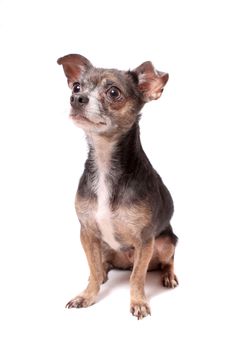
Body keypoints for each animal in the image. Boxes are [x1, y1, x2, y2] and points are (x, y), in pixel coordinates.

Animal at [57, 53, 177, 318]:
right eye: (76, 87)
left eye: (113, 92)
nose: (76, 98)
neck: (104, 164)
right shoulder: (87, 233)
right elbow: (92, 271)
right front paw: (87, 295)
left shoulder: (145, 241)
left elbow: (137, 278)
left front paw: (139, 302)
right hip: (103, 246)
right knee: (101, 266)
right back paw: (103, 274)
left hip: (165, 242)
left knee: (167, 261)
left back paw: (168, 276)